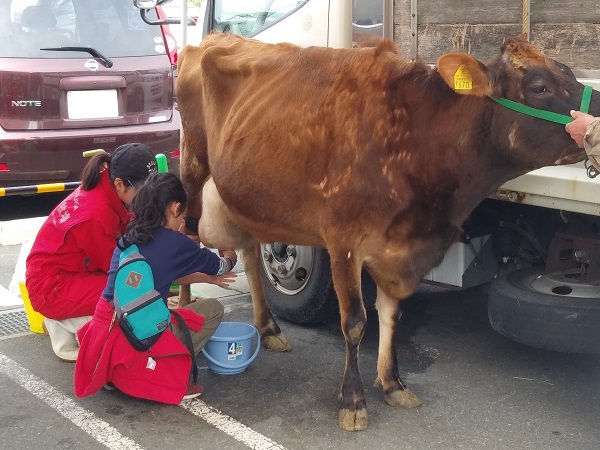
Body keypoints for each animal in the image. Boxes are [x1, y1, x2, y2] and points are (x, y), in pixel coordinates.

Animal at [176, 31, 596, 428]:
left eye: (571, 73)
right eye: (539, 86)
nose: (595, 117)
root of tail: (214, 38)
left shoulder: (399, 248)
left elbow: (391, 315)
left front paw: (393, 383)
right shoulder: (343, 239)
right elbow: (355, 322)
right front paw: (353, 400)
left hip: (242, 195)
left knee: (249, 253)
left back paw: (268, 330)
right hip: (193, 172)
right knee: (185, 239)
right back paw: (183, 318)